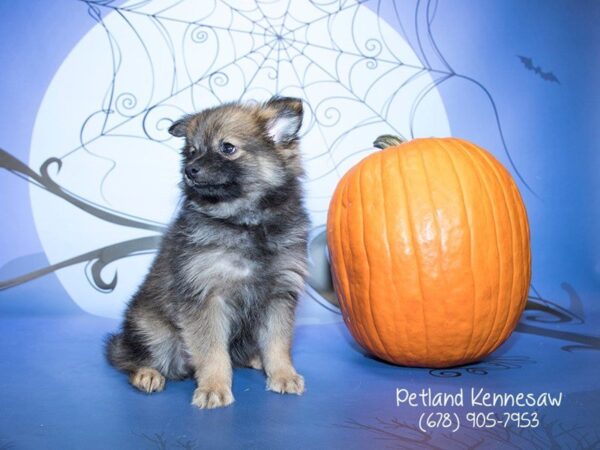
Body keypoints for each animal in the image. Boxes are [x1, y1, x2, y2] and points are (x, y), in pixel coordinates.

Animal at [105, 96, 310, 408]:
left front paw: (283, 375)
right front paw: (214, 387)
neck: (244, 222)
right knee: (129, 358)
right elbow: (213, 351)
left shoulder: (279, 295)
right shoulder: (206, 297)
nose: (189, 169)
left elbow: (277, 343)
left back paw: (255, 358)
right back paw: (147, 374)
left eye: (227, 148)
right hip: (153, 331)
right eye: (191, 152)